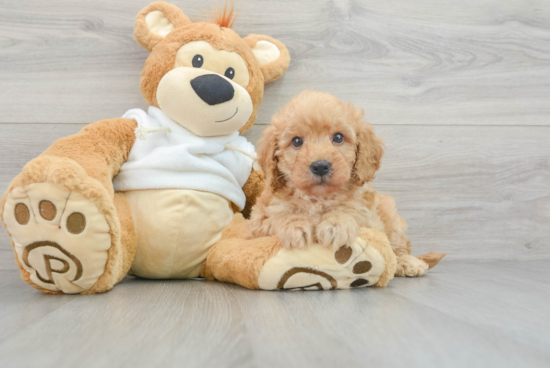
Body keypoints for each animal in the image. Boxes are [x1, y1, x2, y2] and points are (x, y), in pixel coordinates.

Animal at [252, 91, 446, 276]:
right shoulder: (258, 222)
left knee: (398, 249)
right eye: (297, 141)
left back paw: (408, 263)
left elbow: (351, 210)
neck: (318, 198)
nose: (320, 166)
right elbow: (276, 216)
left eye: (338, 137)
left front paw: (334, 225)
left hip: (391, 217)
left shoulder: (368, 216)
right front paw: (294, 226)